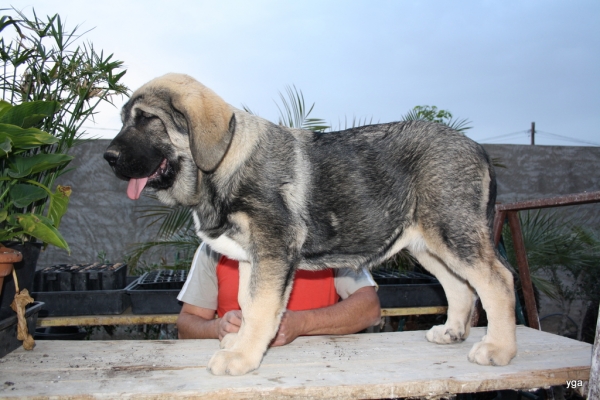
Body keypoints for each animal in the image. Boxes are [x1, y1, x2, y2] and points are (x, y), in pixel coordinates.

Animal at [103, 72, 516, 376]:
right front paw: (240, 344)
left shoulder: (272, 251)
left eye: (147, 120)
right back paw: (452, 332)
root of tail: (478, 148)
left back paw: (498, 348)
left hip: (453, 232)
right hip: (427, 243)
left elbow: (261, 307)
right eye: (124, 120)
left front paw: (242, 358)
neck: (224, 164)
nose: (108, 157)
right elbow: (248, 304)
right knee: (460, 286)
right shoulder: (253, 258)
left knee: (497, 281)